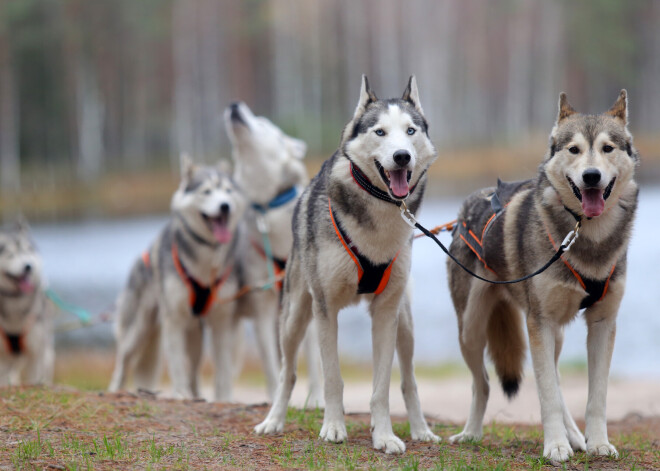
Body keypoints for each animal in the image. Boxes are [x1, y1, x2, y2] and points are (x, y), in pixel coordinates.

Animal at [109, 159, 246, 402]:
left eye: (228, 191)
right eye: (207, 191)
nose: (225, 206)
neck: (207, 259)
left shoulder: (221, 321)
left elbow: (223, 368)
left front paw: (224, 399)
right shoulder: (173, 320)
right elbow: (176, 364)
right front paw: (180, 394)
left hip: (195, 334)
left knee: (193, 370)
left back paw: (197, 396)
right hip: (139, 329)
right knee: (123, 361)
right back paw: (116, 390)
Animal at [224, 103, 322, 406]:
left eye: (264, 123)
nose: (234, 105)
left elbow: (314, 361)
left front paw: (316, 401)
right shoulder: (262, 311)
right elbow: (270, 365)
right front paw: (272, 399)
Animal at [255, 76, 440, 454]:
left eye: (410, 131)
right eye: (380, 131)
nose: (402, 156)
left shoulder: (386, 312)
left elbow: (382, 387)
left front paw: (384, 436)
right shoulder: (326, 309)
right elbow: (332, 379)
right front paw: (333, 428)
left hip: (405, 323)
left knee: (409, 380)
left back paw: (420, 429)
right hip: (294, 317)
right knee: (287, 373)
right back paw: (273, 420)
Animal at [448, 91, 640, 460]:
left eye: (608, 148)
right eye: (574, 149)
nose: (591, 176)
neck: (584, 236)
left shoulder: (602, 324)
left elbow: (596, 397)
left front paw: (597, 443)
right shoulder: (540, 325)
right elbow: (546, 394)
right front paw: (555, 446)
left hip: (555, 334)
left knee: (556, 378)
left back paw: (577, 438)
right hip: (472, 330)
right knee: (483, 383)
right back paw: (471, 433)